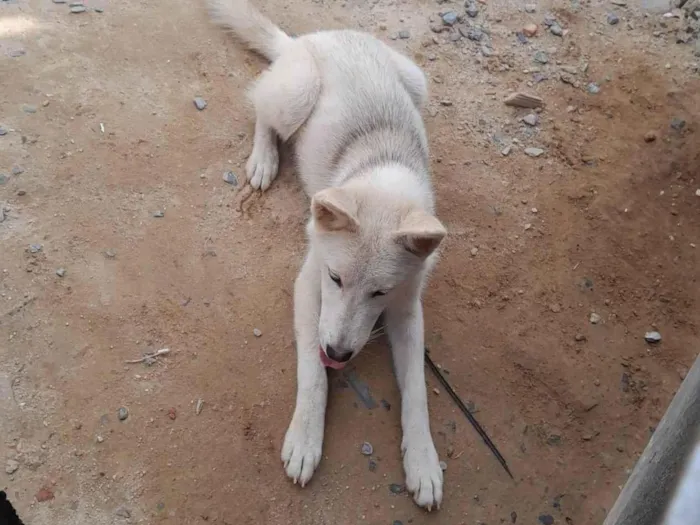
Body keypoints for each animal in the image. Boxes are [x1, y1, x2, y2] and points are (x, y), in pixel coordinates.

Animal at [209, 0, 448, 508]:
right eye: (335, 279)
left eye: (380, 292)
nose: (338, 352)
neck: (380, 176)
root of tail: (312, 38)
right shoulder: (307, 286)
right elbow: (312, 375)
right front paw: (305, 439)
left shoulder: (408, 309)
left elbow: (417, 391)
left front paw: (423, 461)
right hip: (298, 93)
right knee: (261, 108)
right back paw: (264, 159)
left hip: (416, 81)